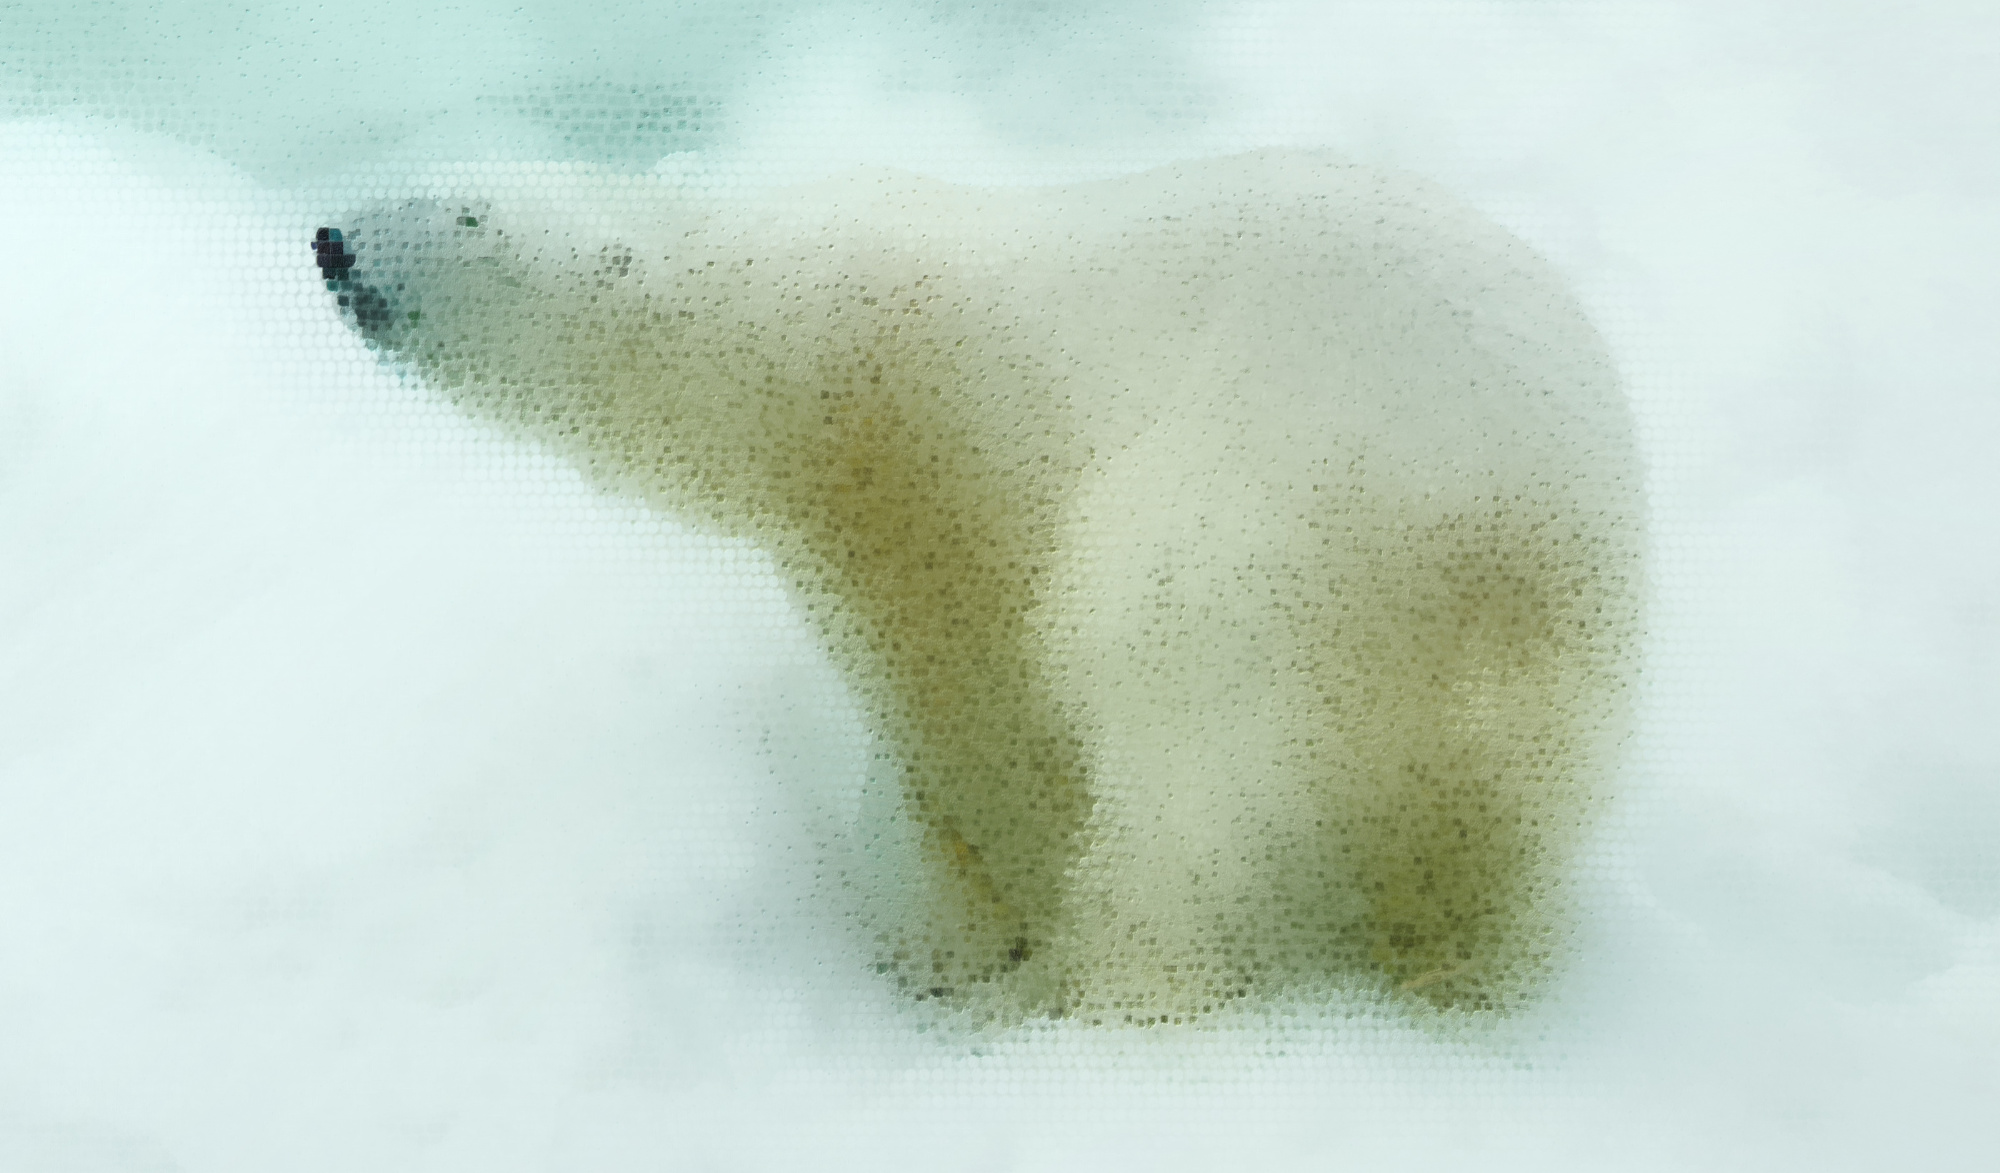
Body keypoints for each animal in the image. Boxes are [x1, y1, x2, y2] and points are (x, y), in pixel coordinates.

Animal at [313, 148, 1643, 1026]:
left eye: (462, 211)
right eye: (424, 173)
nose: (331, 241)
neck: (788, 324)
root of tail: (1503, 546)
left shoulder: (919, 466)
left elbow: (985, 720)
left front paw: (979, 943)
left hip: (1276, 523)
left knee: (1177, 753)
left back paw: (1106, 978)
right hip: (1550, 702)